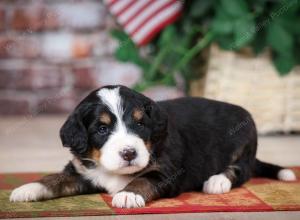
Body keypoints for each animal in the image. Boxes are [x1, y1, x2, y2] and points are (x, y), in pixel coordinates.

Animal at [10, 85, 296, 207]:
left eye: (139, 124)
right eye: (102, 129)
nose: (129, 153)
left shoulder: (167, 171)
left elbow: (144, 179)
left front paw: (128, 194)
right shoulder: (82, 171)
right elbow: (56, 178)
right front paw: (27, 189)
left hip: (244, 141)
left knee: (241, 170)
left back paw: (217, 181)